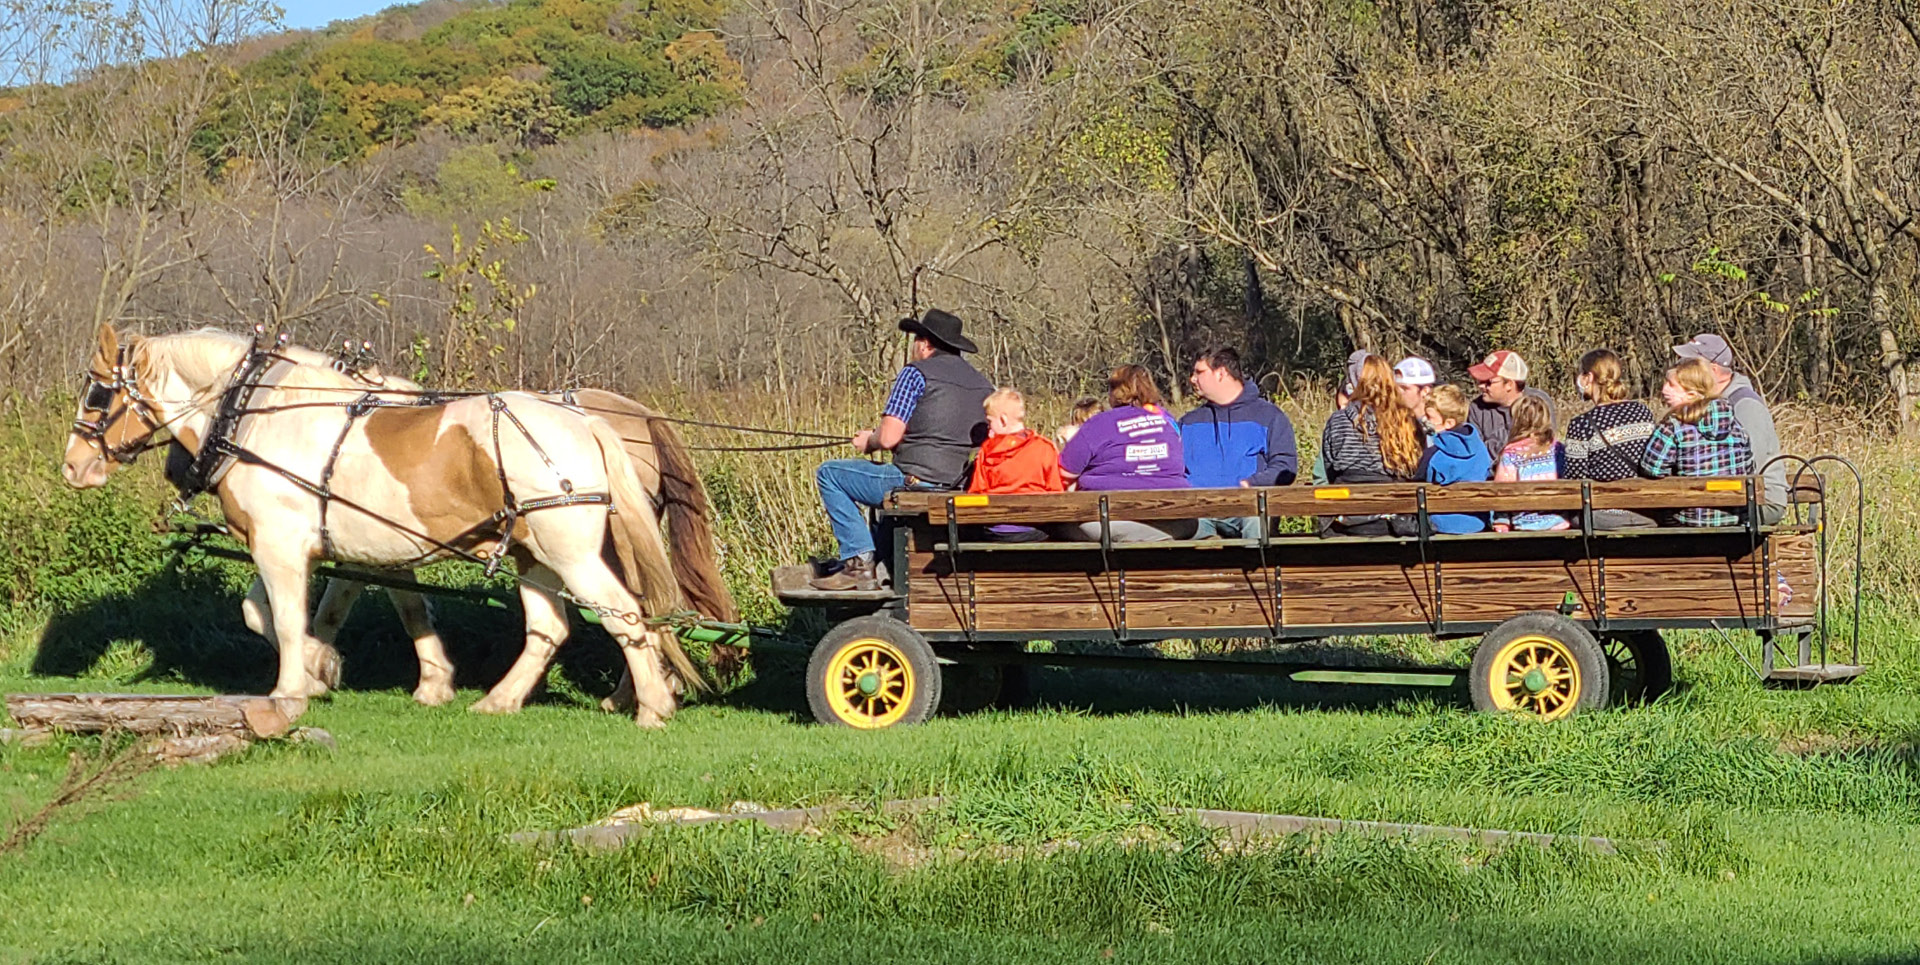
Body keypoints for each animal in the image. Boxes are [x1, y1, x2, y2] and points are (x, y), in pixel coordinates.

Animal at [63, 324, 702, 725]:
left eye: (96, 394)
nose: (72, 466)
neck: (256, 418)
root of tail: (586, 419)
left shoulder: (280, 547)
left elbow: (288, 618)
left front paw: (294, 688)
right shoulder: (340, 550)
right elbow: (291, 612)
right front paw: (334, 668)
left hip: (572, 553)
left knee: (626, 614)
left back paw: (651, 705)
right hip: (534, 554)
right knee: (551, 628)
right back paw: (500, 701)